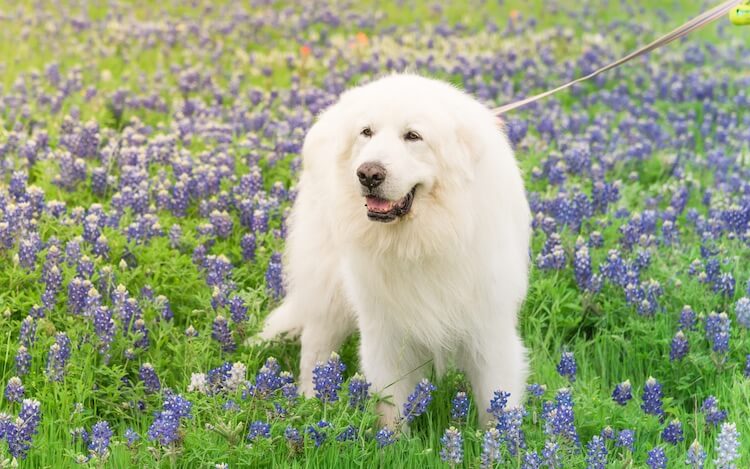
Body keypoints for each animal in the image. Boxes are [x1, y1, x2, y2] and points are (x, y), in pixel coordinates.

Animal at [262, 72, 532, 424]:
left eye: (413, 136)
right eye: (366, 132)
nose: (368, 173)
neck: (421, 240)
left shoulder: (489, 329)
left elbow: (496, 405)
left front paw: (499, 440)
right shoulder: (385, 330)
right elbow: (391, 407)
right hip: (328, 280)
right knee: (316, 344)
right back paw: (311, 402)